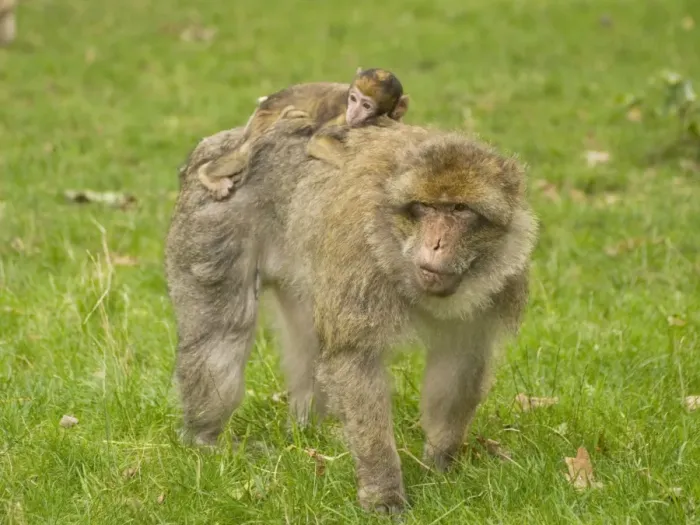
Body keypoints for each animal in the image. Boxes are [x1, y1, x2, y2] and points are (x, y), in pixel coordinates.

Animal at [165, 117, 538, 513]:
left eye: (460, 210)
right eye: (424, 207)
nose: (435, 244)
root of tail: (222, 142)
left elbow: (459, 363)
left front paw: (439, 464)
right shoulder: (360, 260)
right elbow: (355, 359)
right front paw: (382, 488)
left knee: (307, 338)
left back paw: (310, 431)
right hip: (213, 223)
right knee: (222, 332)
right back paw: (205, 437)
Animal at [196, 67, 410, 199]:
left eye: (366, 106)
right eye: (353, 99)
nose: (353, 112)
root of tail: (269, 99)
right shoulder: (344, 119)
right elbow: (318, 141)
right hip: (267, 115)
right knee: (246, 150)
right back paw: (206, 173)